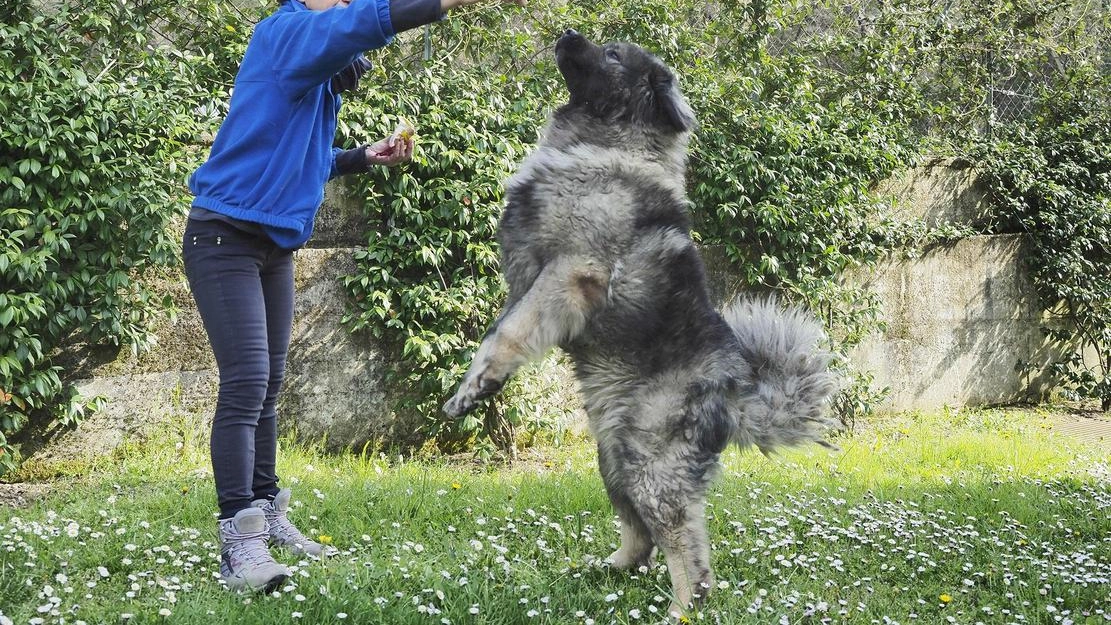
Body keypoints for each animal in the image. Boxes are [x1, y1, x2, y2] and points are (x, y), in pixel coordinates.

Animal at [442, 29, 835, 617]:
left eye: (611, 55)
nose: (567, 34)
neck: (611, 147)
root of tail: (736, 393)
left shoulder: (570, 271)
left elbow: (508, 334)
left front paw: (474, 389)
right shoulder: (529, 282)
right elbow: (500, 331)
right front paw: (478, 383)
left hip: (647, 458)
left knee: (686, 546)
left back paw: (679, 608)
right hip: (612, 455)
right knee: (641, 530)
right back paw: (609, 569)